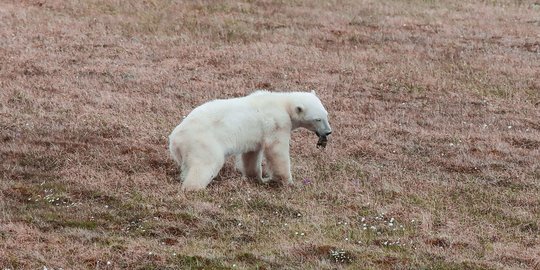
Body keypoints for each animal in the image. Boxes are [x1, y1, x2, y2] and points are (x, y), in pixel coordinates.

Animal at [169, 89, 332, 191]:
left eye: (326, 114)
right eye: (317, 119)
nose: (328, 132)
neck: (282, 102)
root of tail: (175, 140)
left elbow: (251, 154)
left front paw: (257, 178)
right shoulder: (277, 122)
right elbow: (277, 150)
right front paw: (287, 182)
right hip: (203, 142)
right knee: (205, 164)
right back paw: (194, 188)